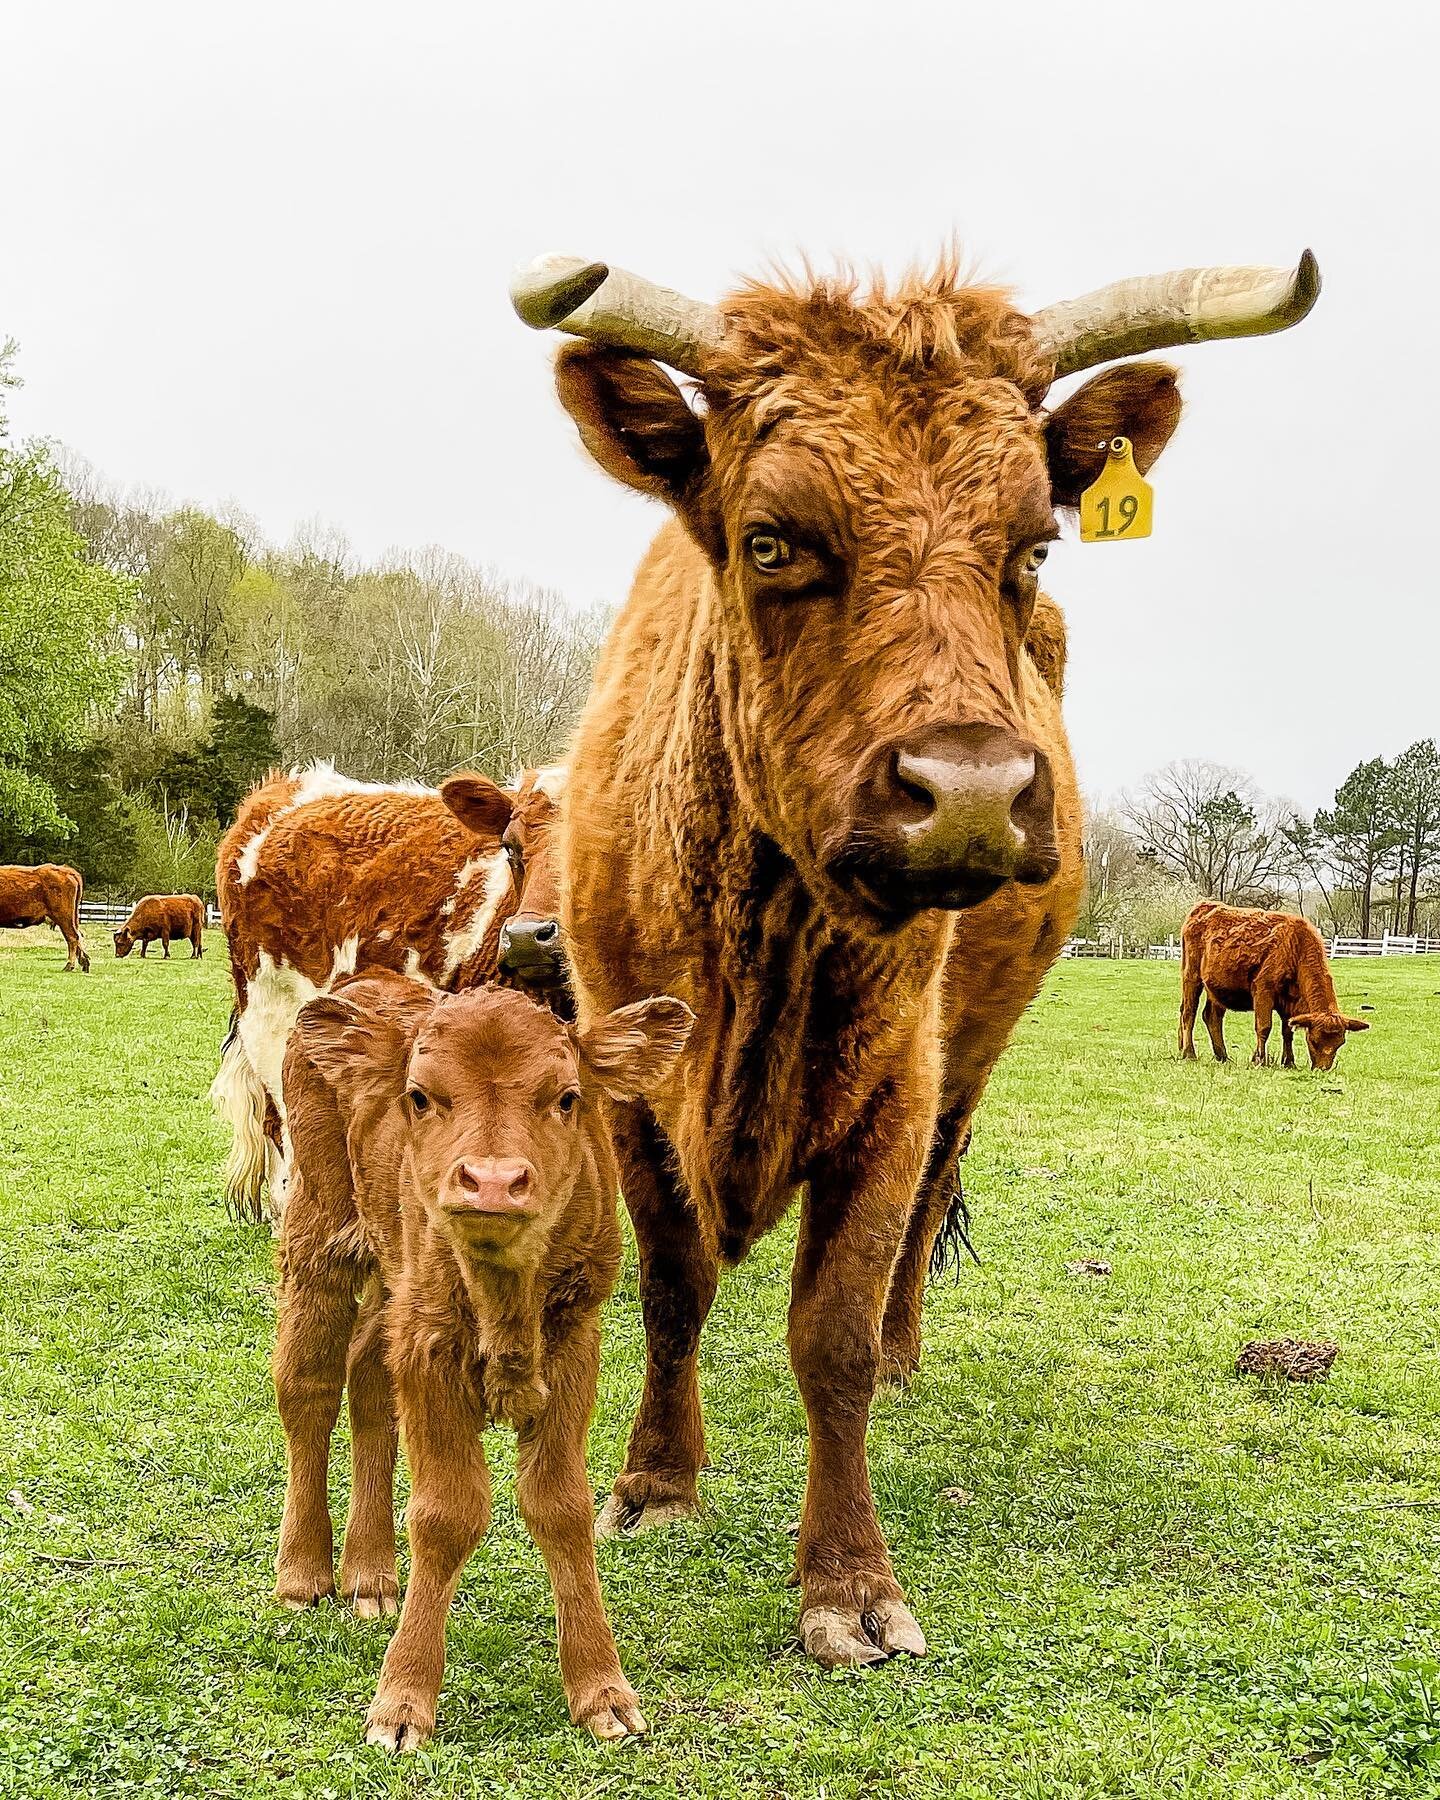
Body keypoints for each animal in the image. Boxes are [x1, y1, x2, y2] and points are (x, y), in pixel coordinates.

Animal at [277, 979, 698, 1749]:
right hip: (318, 1236)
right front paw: (402, 1703)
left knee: (367, 1377)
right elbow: (445, 1514)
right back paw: (301, 1575)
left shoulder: (573, 1346)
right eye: (419, 1096)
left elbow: (560, 1506)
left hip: (392, 1285)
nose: (494, 1182)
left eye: (567, 1097)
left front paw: (602, 1693)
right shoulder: (430, 1349)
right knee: (308, 1384)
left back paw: (371, 1577)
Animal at [511, 246, 1324, 1663]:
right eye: (773, 540)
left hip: (972, 1057)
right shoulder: (631, 1087)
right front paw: (657, 1483)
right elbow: (670, 1286)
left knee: (926, 1213)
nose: (971, 791)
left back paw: (904, 1354)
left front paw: (847, 1582)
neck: (765, 950)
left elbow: (828, 1330)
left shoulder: (894, 1085)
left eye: (1033, 545)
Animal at [1173, 900, 1368, 1065]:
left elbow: (1287, 1031)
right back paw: (1189, 1053)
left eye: (1340, 1043)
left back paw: (1222, 1056)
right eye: (1313, 1041)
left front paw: (1289, 1062)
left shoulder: (1288, 1002)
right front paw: (1260, 1060)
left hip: (1216, 988)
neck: (1295, 946)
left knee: (1212, 1017)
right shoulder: (1263, 991)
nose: (1323, 1069)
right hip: (1191, 978)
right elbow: (1264, 1027)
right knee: (1188, 1013)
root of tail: (1204, 906)